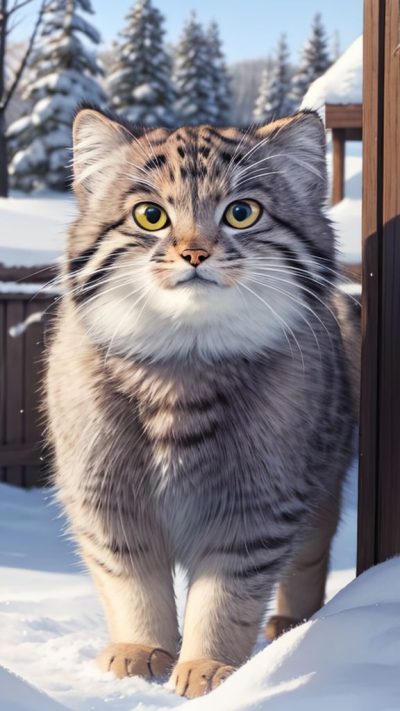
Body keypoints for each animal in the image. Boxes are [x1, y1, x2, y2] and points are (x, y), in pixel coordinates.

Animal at [45, 110, 358, 700]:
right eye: (151, 217)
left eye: (241, 212)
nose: (194, 253)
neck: (181, 369)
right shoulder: (105, 495)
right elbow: (133, 583)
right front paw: (141, 650)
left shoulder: (259, 505)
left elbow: (225, 596)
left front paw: (209, 665)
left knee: (310, 555)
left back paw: (292, 623)